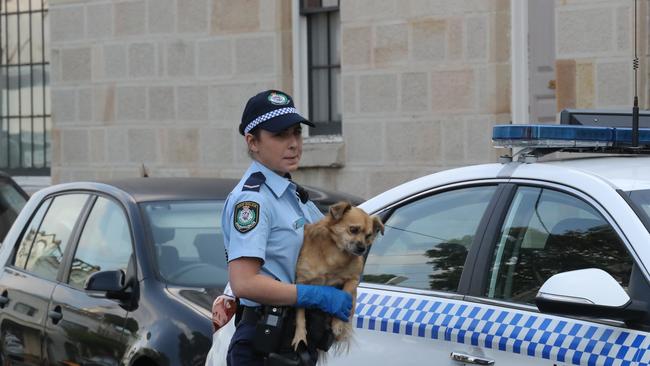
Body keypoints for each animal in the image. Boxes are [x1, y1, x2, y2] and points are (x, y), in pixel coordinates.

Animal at [292, 203, 382, 352]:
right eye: (353, 229)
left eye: (368, 235)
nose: (362, 248)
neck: (336, 254)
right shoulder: (302, 283)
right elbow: (300, 313)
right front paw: (300, 335)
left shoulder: (353, 280)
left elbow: (343, 298)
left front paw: (337, 324)